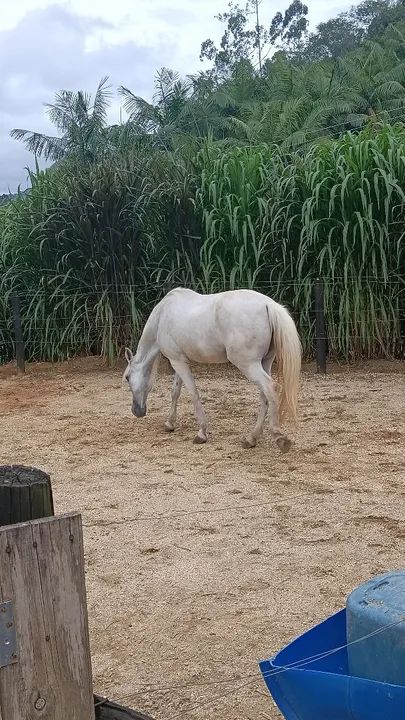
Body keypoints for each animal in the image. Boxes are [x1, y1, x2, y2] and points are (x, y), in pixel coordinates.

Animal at [124, 288, 301, 451]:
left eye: (127, 377)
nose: (137, 411)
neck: (161, 317)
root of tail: (268, 305)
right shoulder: (179, 360)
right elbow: (175, 392)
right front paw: (169, 423)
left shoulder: (177, 362)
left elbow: (193, 393)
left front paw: (201, 433)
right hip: (264, 363)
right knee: (265, 396)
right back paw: (251, 438)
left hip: (249, 365)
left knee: (270, 388)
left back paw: (278, 437)